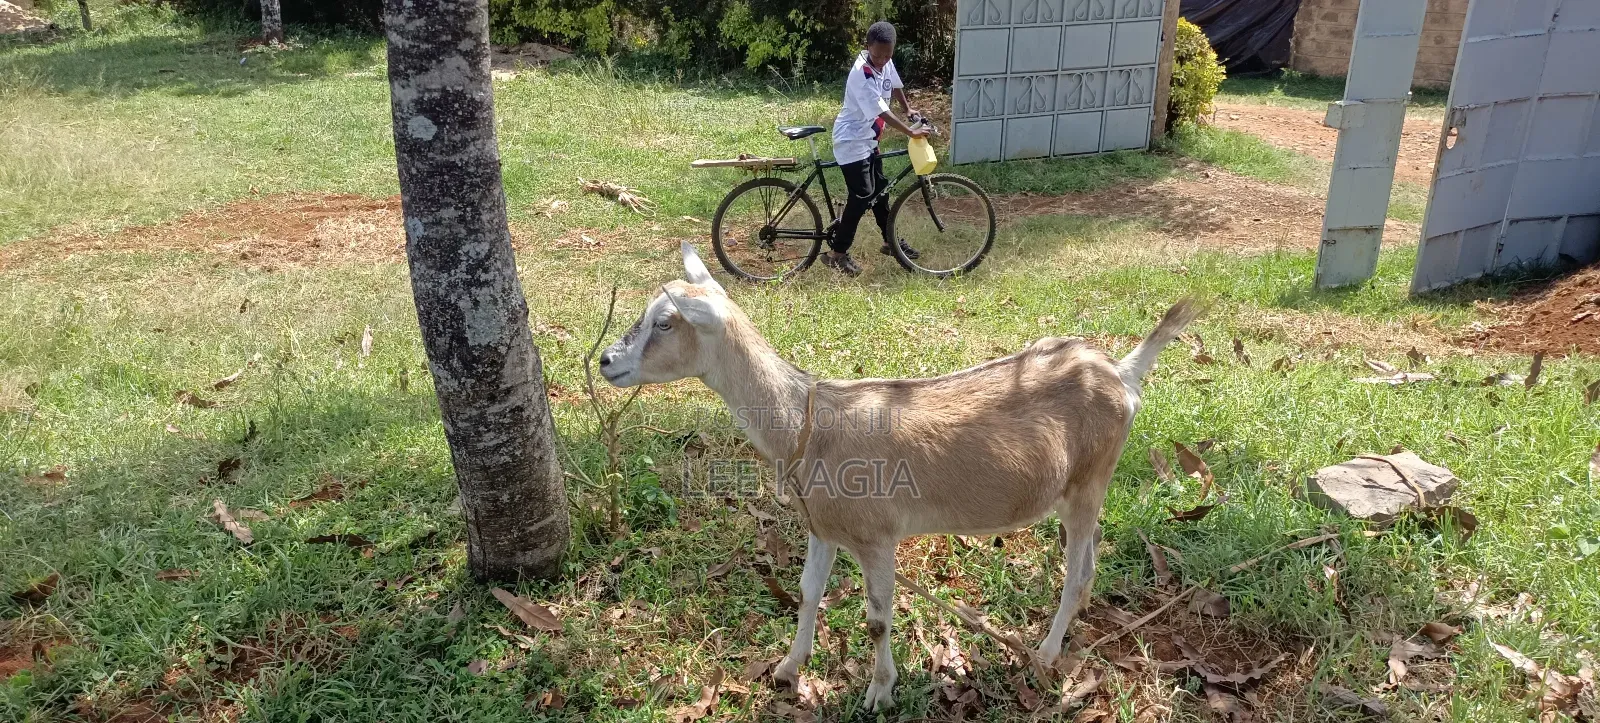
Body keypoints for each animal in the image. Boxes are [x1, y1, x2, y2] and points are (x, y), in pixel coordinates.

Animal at [599, 242, 1201, 711]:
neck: (807, 425)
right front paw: (788, 669)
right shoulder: (823, 527)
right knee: (1090, 560)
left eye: (664, 321)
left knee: (1075, 573)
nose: (605, 360)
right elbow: (808, 593)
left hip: (1088, 483)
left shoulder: (876, 535)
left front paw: (879, 692)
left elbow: (877, 619)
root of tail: (1121, 374)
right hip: (1078, 489)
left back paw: (1046, 655)